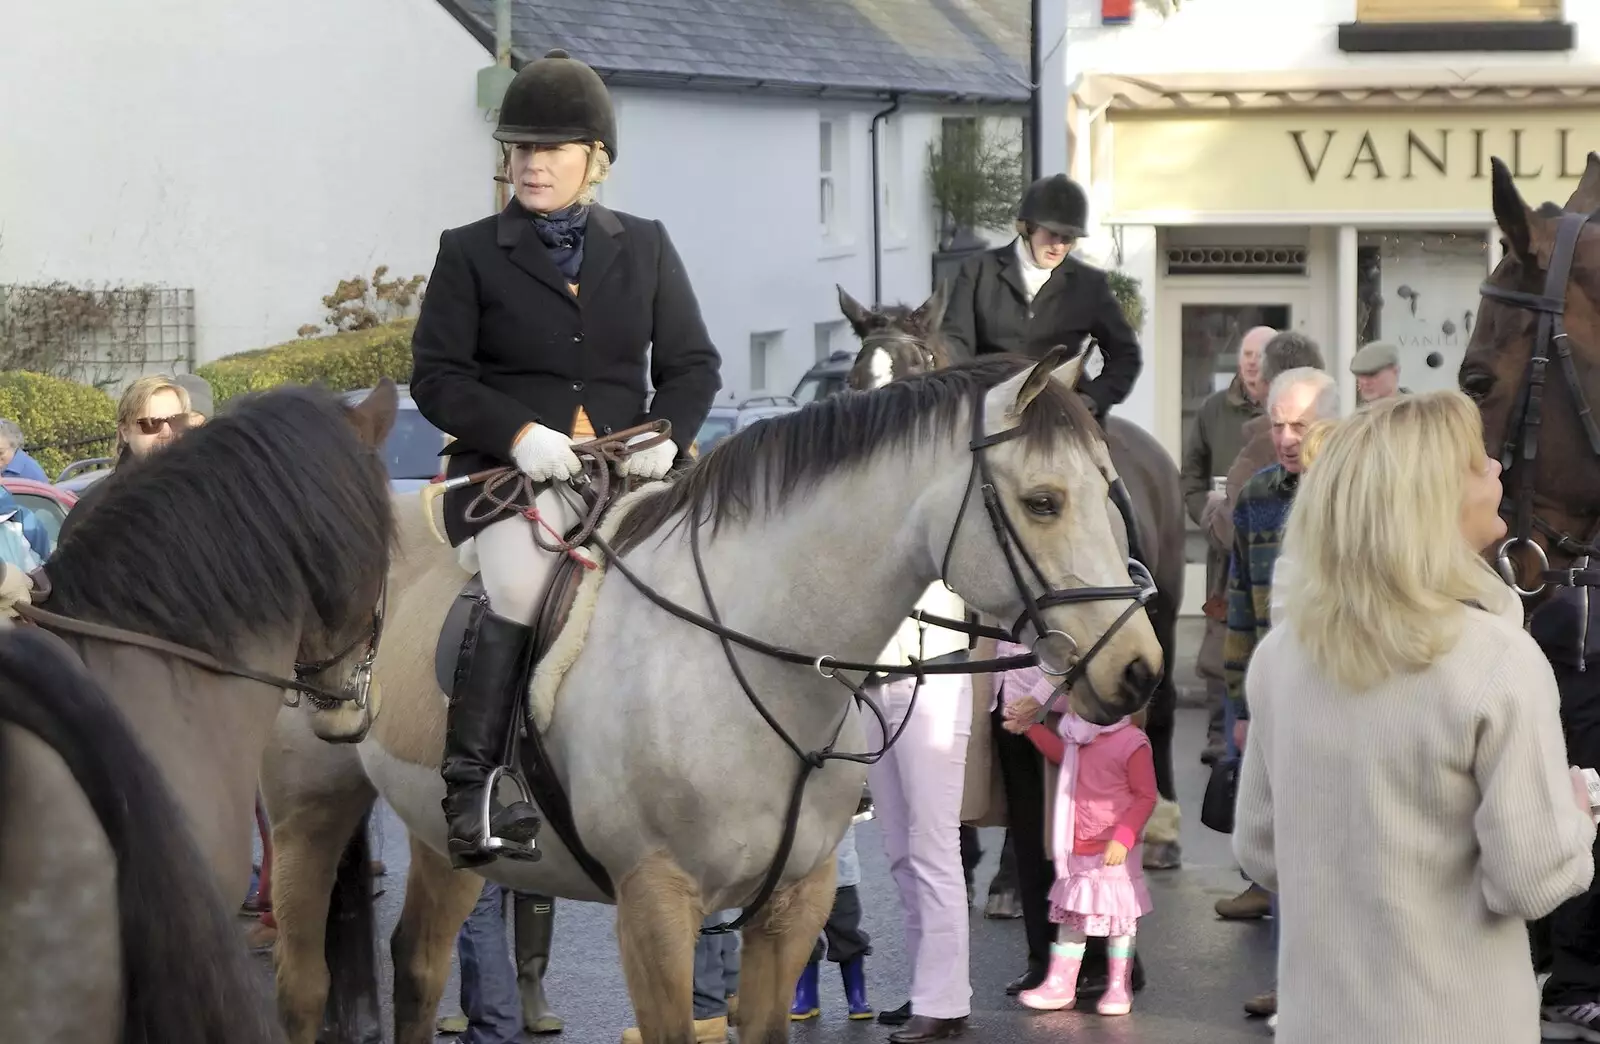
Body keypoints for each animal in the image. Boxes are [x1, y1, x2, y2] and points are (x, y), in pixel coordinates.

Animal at [262, 352, 1164, 1044]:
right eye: (1043, 501)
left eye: (1112, 488)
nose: (1139, 670)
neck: (750, 657)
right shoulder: (656, 906)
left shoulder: (793, 904)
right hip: (309, 813)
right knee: (302, 988)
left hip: (444, 839)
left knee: (417, 963)